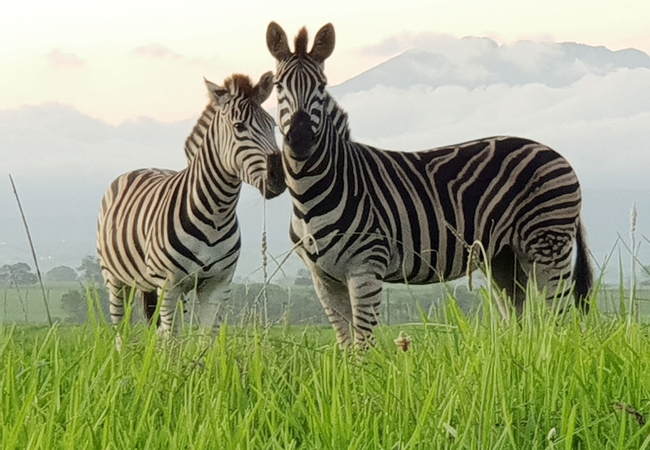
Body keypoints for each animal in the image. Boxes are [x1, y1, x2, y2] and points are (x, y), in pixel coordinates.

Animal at [97, 72, 286, 336]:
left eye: (273, 125)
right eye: (239, 127)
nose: (278, 177)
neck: (217, 212)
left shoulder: (218, 285)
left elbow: (206, 339)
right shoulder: (170, 284)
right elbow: (173, 341)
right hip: (116, 279)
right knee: (122, 331)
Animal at [266, 22, 593, 348]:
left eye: (321, 87)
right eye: (278, 86)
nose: (300, 140)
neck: (311, 194)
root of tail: (558, 156)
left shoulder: (365, 268)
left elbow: (364, 346)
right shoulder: (323, 278)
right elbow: (346, 344)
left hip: (547, 242)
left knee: (558, 318)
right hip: (504, 256)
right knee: (520, 321)